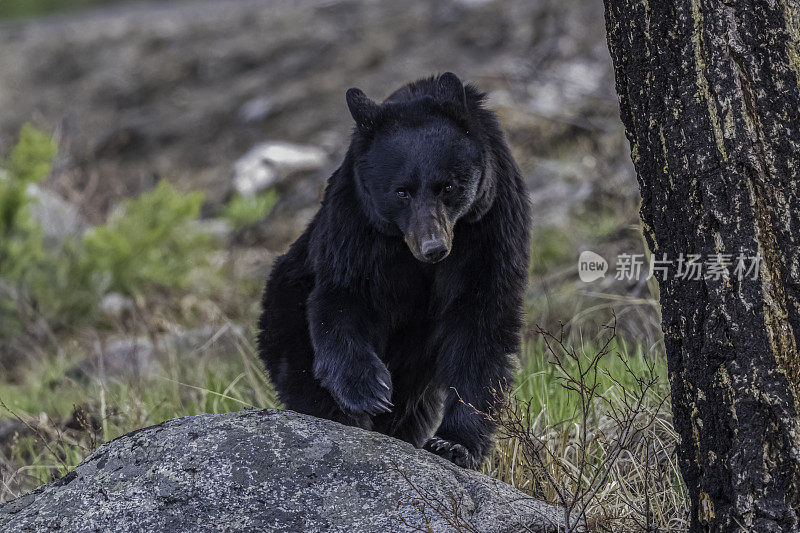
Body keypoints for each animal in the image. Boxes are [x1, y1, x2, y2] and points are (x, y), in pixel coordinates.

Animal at [258, 74, 532, 466]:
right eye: (401, 191)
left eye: (448, 186)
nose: (433, 248)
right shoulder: (357, 223)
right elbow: (346, 296)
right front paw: (368, 389)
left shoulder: (491, 224)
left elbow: (481, 324)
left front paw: (454, 443)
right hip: (285, 310)